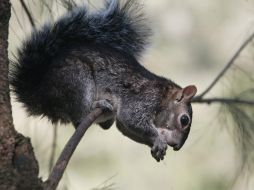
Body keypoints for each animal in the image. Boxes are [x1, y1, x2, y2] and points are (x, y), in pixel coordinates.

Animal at [9, 0, 196, 162]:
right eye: (184, 120)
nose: (176, 146)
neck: (163, 96)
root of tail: (40, 94)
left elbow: (125, 127)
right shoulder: (144, 99)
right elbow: (132, 119)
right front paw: (157, 139)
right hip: (77, 81)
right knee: (79, 119)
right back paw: (100, 104)